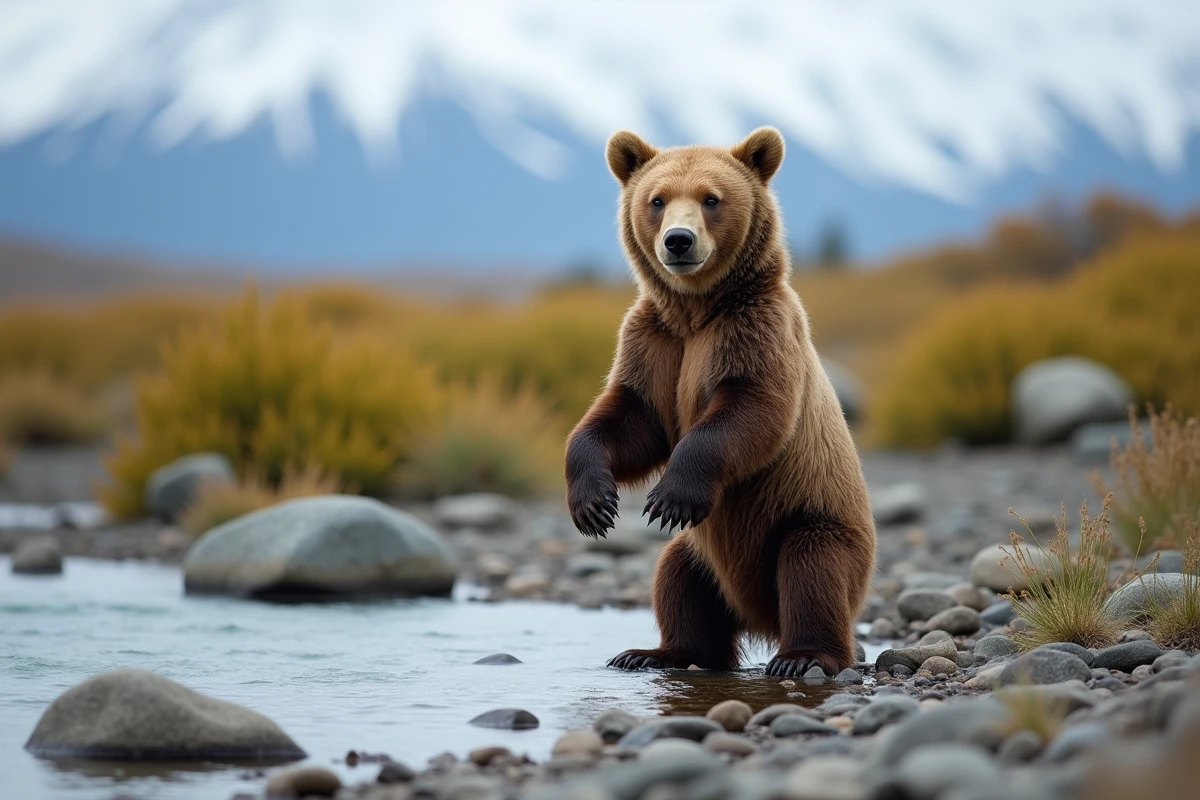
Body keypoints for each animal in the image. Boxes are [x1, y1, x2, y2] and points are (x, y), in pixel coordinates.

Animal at [564, 127, 876, 677]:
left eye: (711, 199)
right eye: (657, 200)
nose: (678, 240)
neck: (697, 310)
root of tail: (757, 615)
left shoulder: (754, 330)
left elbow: (751, 409)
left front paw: (670, 496)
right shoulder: (656, 341)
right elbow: (632, 416)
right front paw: (594, 504)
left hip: (814, 519)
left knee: (812, 567)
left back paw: (803, 656)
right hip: (703, 552)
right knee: (678, 579)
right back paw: (654, 652)